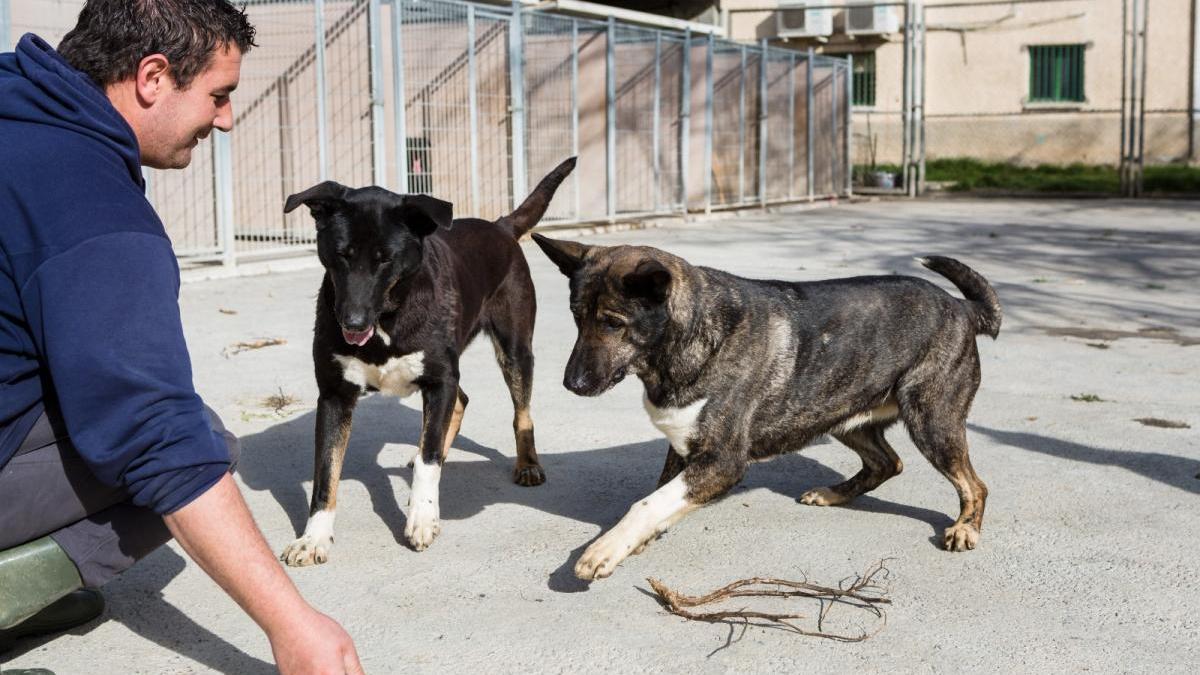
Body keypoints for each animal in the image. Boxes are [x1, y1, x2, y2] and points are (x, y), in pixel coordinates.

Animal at [535, 233, 1003, 578]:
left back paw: (966, 529)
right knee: (887, 463)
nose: (572, 384)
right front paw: (634, 540)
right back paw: (834, 493)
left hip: (932, 420)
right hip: (841, 416)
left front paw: (606, 548)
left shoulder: (722, 462)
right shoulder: (684, 451)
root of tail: (961, 307)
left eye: (613, 323)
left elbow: (647, 503)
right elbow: (658, 497)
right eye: (577, 316)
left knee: (974, 484)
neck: (690, 337)